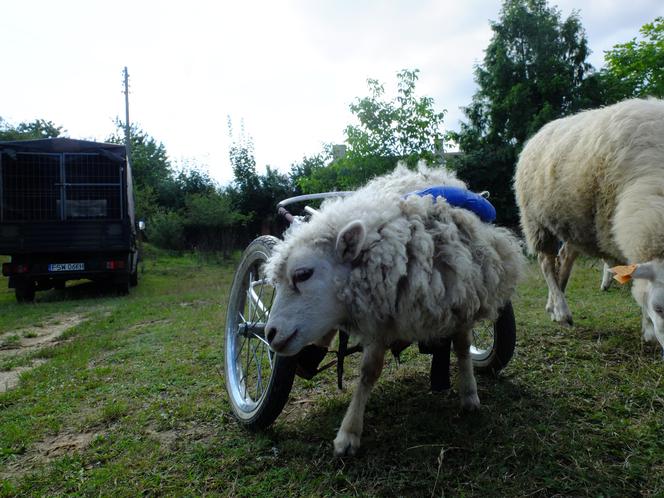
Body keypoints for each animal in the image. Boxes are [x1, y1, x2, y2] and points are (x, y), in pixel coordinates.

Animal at [516, 98, 664, 350]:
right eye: (658, 308)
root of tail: (540, 131)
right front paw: (649, 331)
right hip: (537, 221)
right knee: (546, 263)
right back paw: (562, 312)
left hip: (571, 225)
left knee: (564, 259)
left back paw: (554, 304)